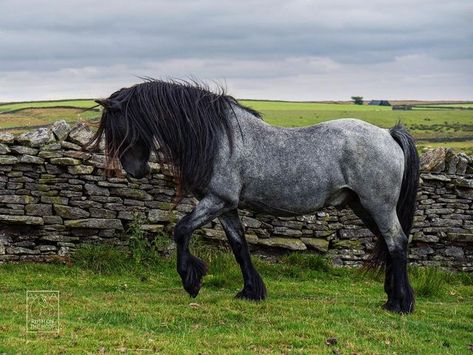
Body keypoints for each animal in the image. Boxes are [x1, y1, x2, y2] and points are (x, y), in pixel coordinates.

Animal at [86, 80, 418, 314]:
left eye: (118, 127)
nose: (136, 170)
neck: (217, 138)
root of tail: (388, 134)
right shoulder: (225, 206)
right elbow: (239, 246)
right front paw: (251, 291)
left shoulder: (217, 200)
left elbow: (181, 230)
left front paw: (191, 281)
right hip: (363, 206)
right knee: (388, 244)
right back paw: (392, 298)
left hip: (378, 205)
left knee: (396, 242)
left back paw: (400, 304)